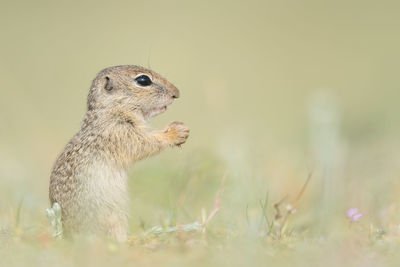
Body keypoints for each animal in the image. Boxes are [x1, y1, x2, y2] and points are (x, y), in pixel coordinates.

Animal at [48, 65, 189, 243]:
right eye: (143, 80)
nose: (176, 93)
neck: (111, 110)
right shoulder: (119, 132)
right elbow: (144, 144)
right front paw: (176, 132)